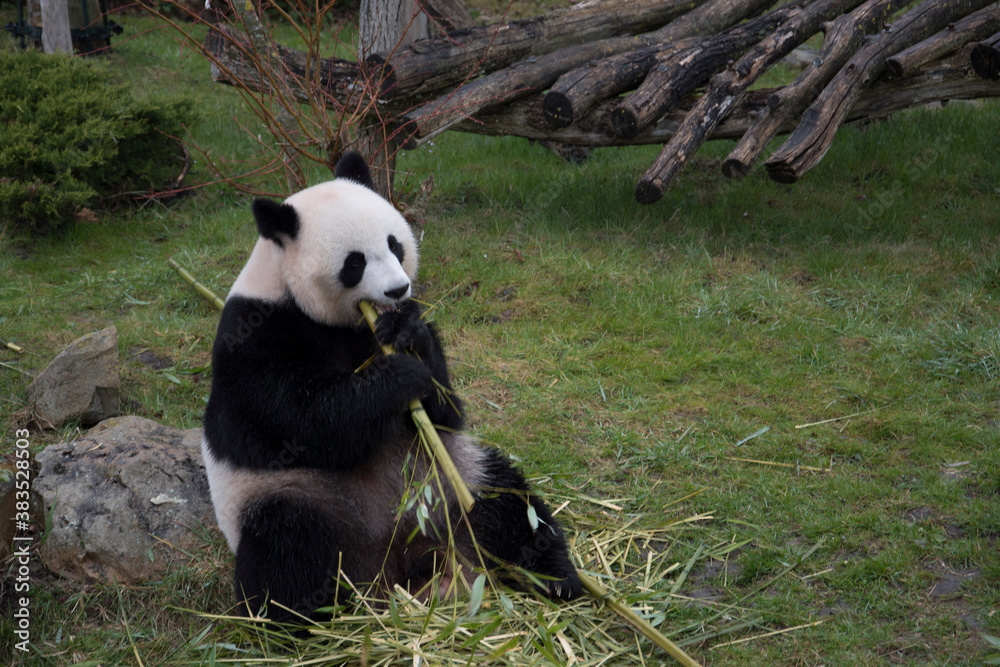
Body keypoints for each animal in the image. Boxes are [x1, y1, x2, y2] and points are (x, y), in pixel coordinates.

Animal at [202, 151, 581, 626]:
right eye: (355, 263)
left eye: (395, 244)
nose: (398, 288)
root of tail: (396, 558)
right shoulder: (255, 338)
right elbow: (305, 421)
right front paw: (398, 378)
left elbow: (445, 413)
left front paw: (408, 337)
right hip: (294, 498)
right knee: (288, 552)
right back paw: (317, 622)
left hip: (449, 482)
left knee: (507, 505)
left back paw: (558, 578)